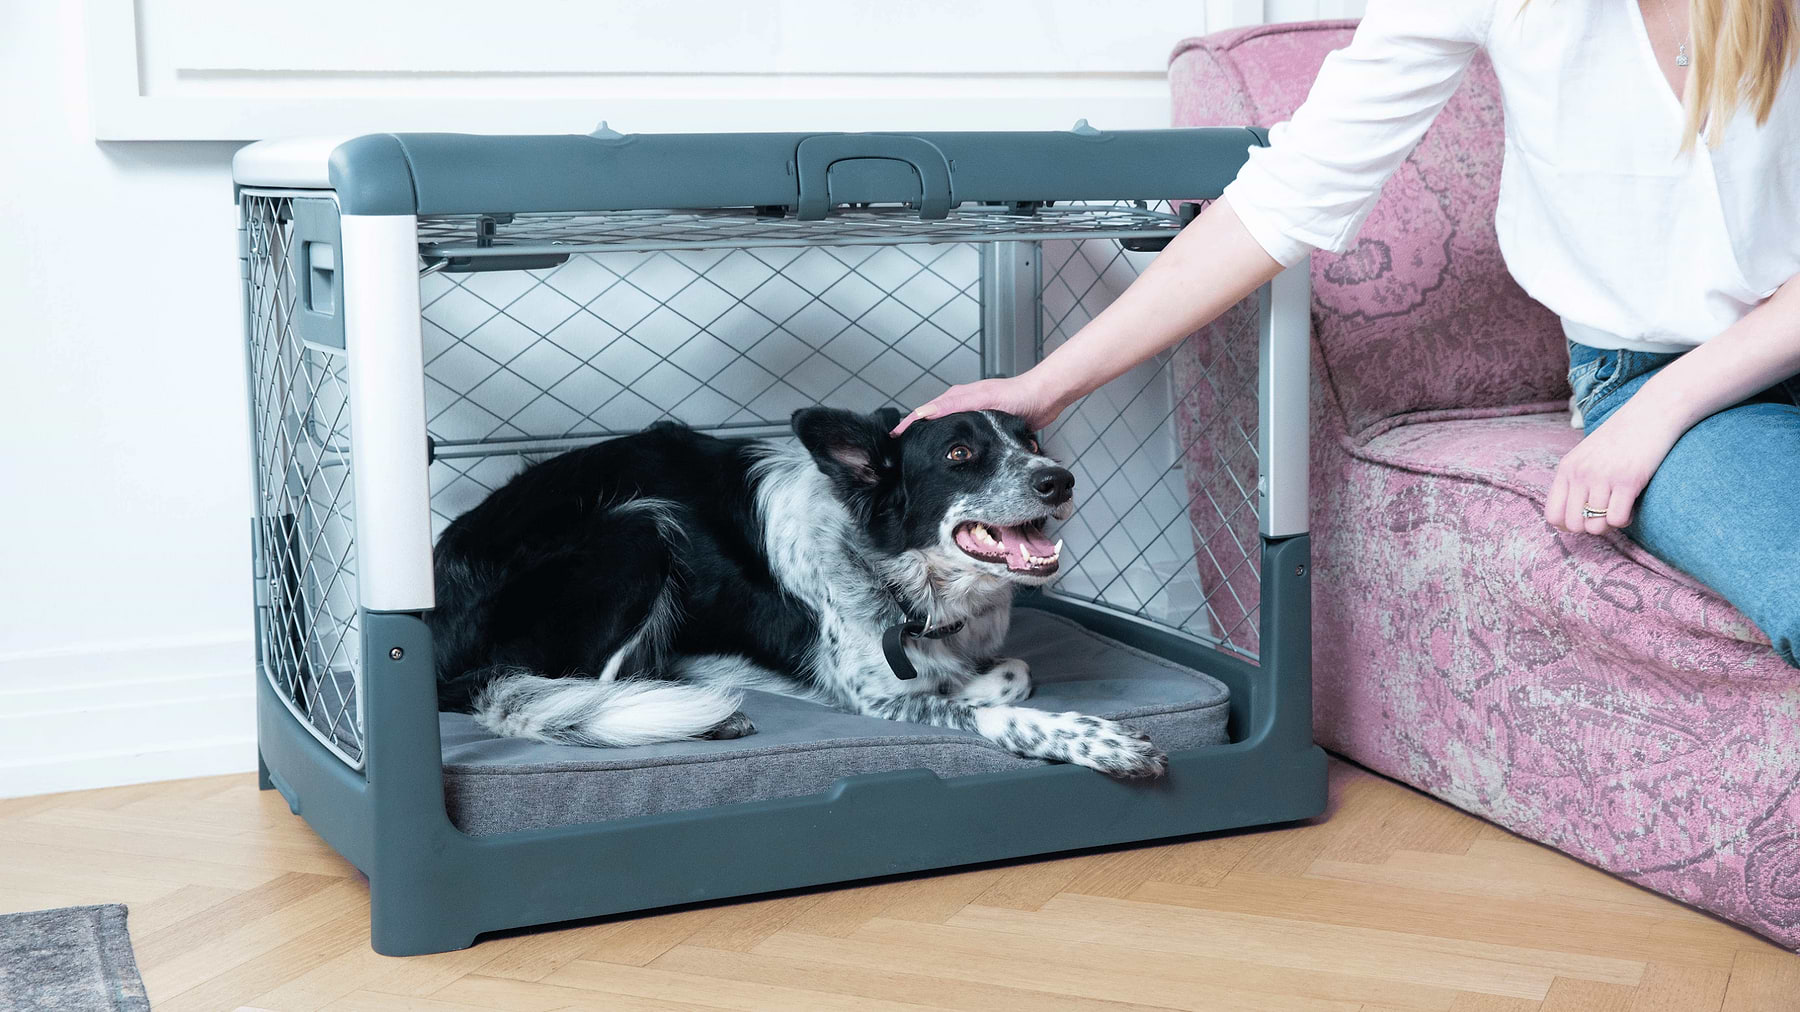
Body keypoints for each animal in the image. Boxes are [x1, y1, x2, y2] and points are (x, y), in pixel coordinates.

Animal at [430, 405, 1173, 774]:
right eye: (960, 455)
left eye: (1032, 441)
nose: (1060, 479)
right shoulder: (875, 698)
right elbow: (987, 711)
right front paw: (1094, 741)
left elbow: (1011, 673)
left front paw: (971, 679)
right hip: (638, 525)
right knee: (565, 691)